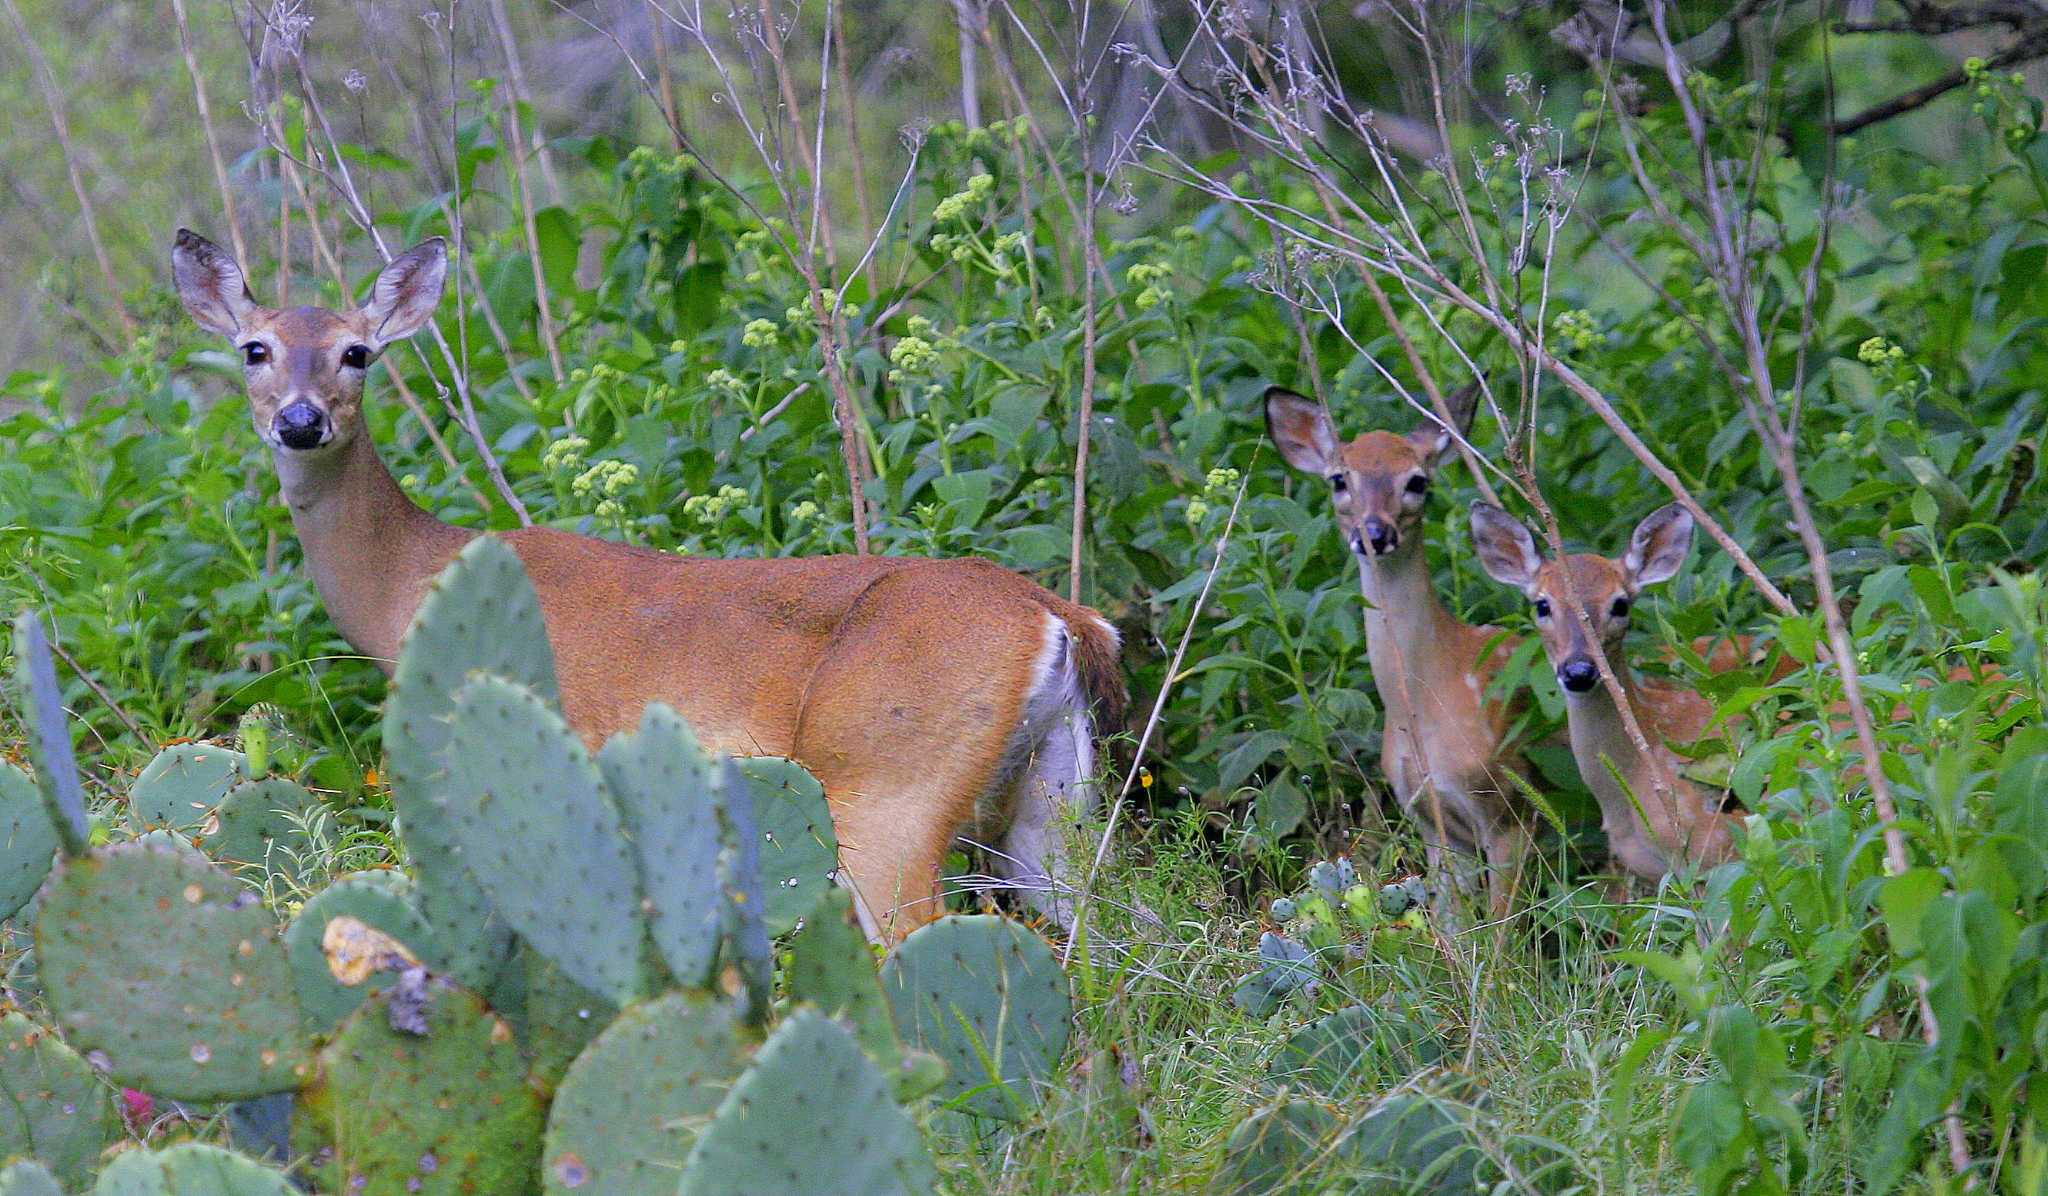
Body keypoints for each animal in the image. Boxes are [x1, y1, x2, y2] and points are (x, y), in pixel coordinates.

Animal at [171, 228, 1125, 941]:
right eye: (255, 348)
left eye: (357, 353)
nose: (301, 421)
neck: (414, 583)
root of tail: (1059, 615)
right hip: (1051, 795)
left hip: (890, 783)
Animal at [1265, 385, 1536, 913]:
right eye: (1338, 479)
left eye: (1417, 481)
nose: (1374, 533)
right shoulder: (1432, 821)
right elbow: (1452, 927)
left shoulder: (1508, 806)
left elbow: (1501, 930)